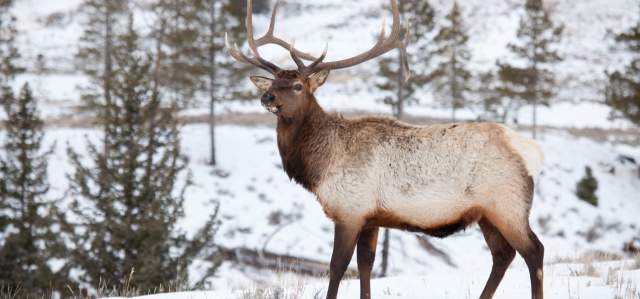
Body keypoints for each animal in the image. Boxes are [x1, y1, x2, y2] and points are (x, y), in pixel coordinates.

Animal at [225, 1, 544, 298]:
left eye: (297, 86)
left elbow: (337, 266)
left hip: (508, 204)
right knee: (503, 255)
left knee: (534, 251)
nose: (267, 97)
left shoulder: (350, 210)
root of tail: (532, 152)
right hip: (487, 214)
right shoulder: (371, 217)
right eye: (274, 82)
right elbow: (366, 264)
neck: (319, 166)